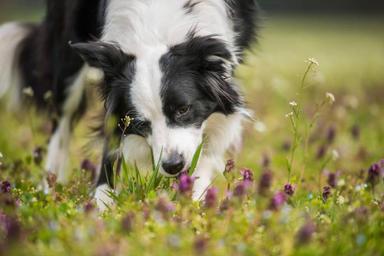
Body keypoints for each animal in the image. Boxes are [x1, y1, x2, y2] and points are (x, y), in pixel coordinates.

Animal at [0, 0, 260, 209]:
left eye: (183, 109)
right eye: (141, 124)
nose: (173, 166)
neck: (158, 29)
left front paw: (194, 200)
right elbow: (110, 143)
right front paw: (100, 205)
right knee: (62, 120)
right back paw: (49, 187)